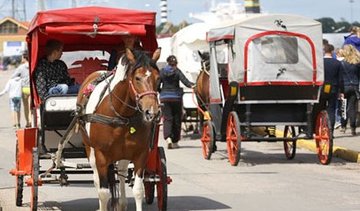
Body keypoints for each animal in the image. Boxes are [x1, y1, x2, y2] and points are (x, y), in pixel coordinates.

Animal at [77, 48, 160, 210]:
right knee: (96, 179)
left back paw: (122, 203)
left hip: (123, 154)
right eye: (137, 78)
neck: (121, 116)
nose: (152, 112)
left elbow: (138, 190)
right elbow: (103, 193)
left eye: (158, 78)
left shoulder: (140, 154)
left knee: (121, 172)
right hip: (90, 150)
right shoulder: (101, 156)